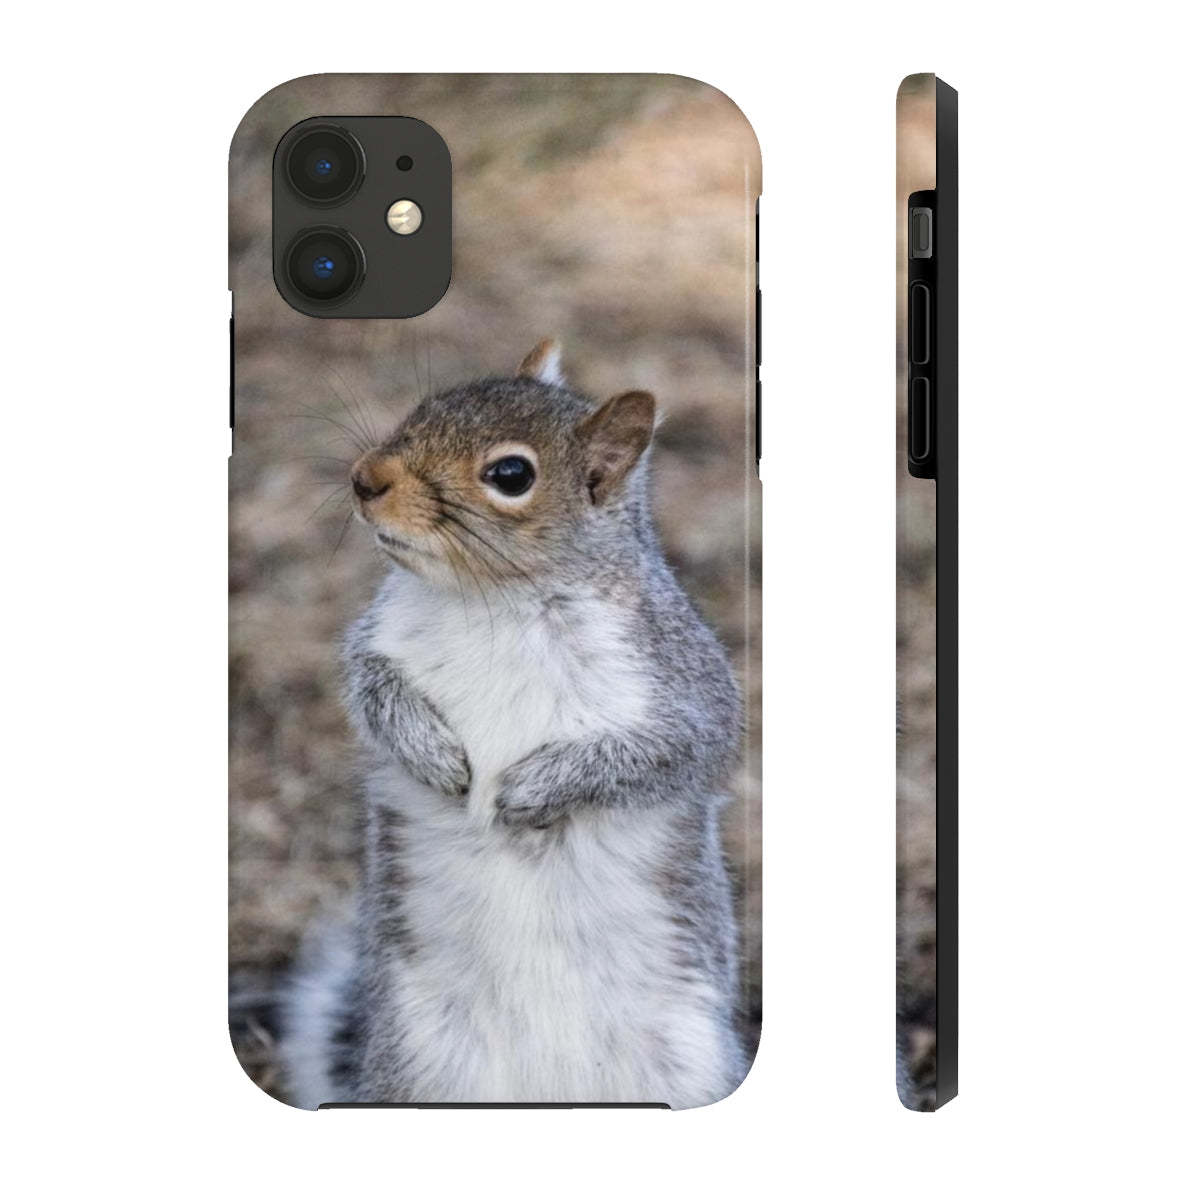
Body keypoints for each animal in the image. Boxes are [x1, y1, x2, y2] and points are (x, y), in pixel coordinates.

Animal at [281, 341, 747, 1108]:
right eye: (424, 407)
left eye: (510, 475)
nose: (364, 478)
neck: (494, 598)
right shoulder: (377, 641)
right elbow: (371, 690)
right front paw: (434, 755)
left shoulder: (681, 682)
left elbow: (670, 752)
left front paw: (532, 790)